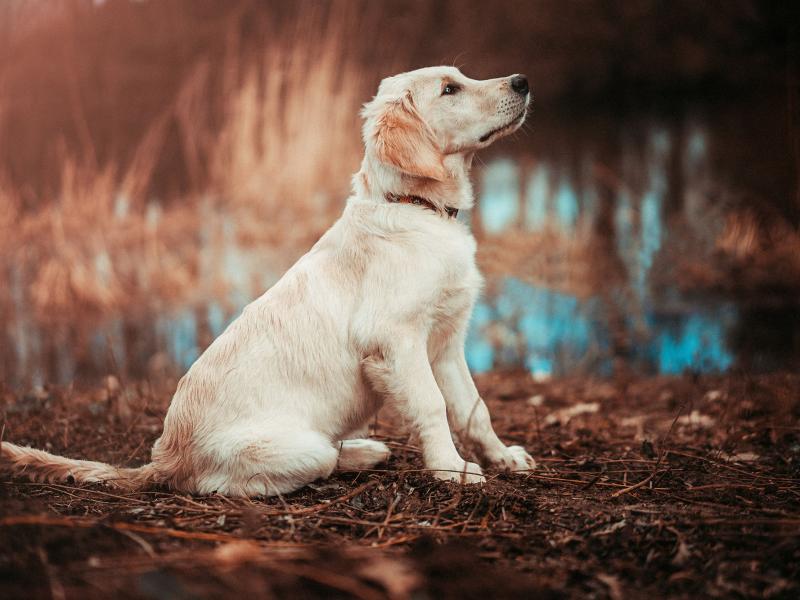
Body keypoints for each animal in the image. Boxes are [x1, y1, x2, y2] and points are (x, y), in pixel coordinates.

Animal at [4, 65, 536, 496]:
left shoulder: (445, 340)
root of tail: (164, 460)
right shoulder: (395, 342)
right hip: (295, 451)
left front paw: (504, 456)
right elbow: (432, 406)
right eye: (449, 89)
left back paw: (367, 449)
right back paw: (358, 453)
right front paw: (452, 470)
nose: (522, 81)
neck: (413, 205)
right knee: (285, 470)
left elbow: (473, 407)